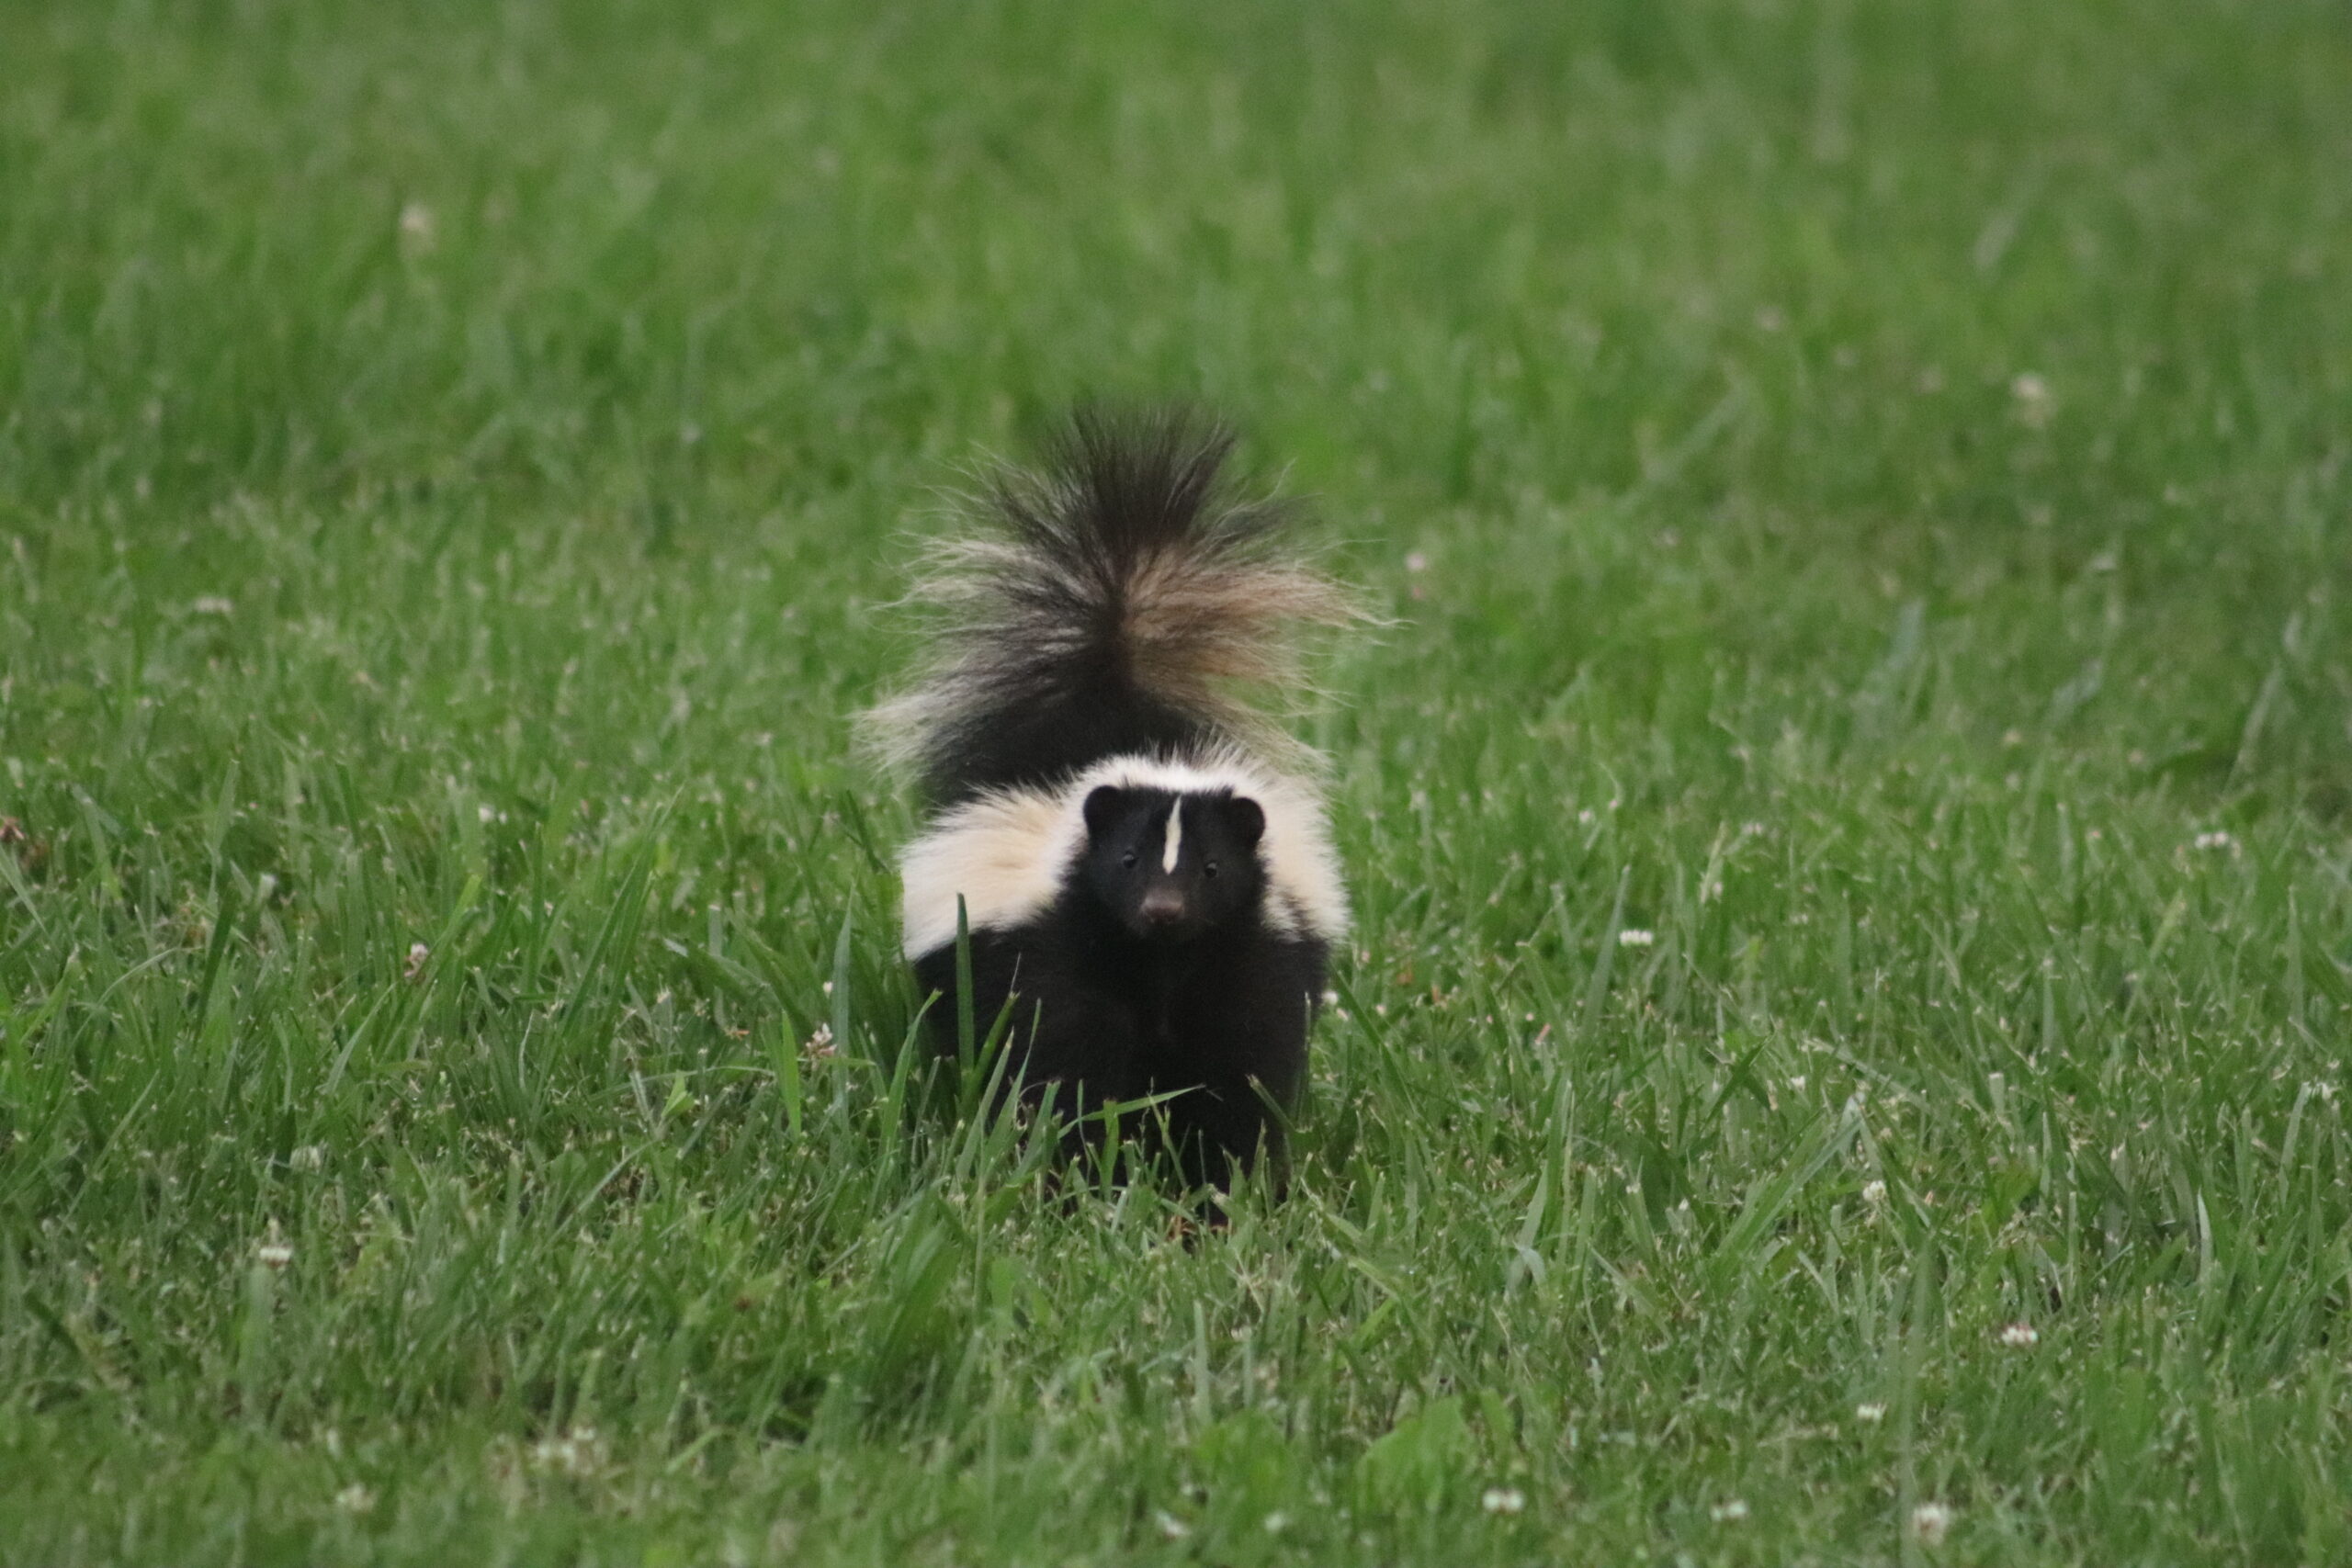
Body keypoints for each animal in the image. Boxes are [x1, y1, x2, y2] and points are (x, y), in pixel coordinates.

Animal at [875, 409, 1363, 1189]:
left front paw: (1222, 1185)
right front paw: (1078, 1175)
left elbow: (1240, 1079)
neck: (1159, 969)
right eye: (1128, 860)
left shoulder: (1254, 960)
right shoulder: (1051, 954)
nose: (1163, 910)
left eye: (1212, 868)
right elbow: (1062, 1073)